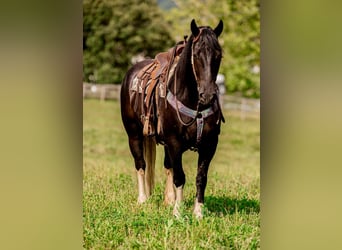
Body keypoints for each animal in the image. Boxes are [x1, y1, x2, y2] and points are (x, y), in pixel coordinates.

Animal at [121, 19, 224, 218]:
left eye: (219, 55)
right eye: (196, 54)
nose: (207, 94)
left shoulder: (209, 145)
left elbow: (201, 178)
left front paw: (198, 212)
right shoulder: (175, 142)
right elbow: (180, 176)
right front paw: (178, 212)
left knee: (167, 165)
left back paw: (168, 200)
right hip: (134, 135)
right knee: (141, 164)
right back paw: (143, 200)